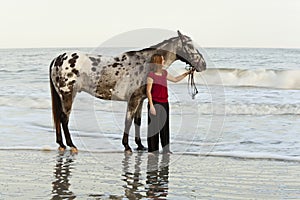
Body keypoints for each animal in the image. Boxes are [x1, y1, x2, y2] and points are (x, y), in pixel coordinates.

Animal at [49, 30, 206, 152]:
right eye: (189, 46)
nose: (203, 65)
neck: (146, 64)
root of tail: (58, 58)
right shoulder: (133, 99)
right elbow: (128, 121)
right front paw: (127, 146)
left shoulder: (140, 100)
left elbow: (137, 121)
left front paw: (140, 145)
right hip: (68, 94)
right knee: (64, 118)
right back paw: (71, 145)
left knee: (59, 119)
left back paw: (62, 144)